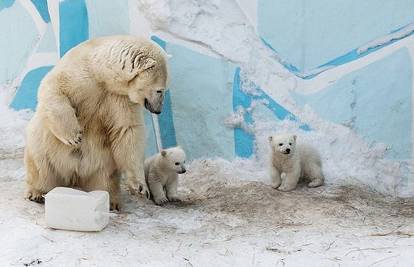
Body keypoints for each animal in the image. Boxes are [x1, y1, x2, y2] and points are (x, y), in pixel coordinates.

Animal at [24, 36, 169, 211]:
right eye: (160, 90)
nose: (158, 110)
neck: (101, 73)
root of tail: (74, 175)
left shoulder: (120, 98)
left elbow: (128, 130)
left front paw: (140, 187)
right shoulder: (79, 75)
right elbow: (54, 88)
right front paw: (74, 136)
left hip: (103, 162)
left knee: (105, 179)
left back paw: (111, 202)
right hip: (44, 148)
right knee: (41, 167)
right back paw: (36, 193)